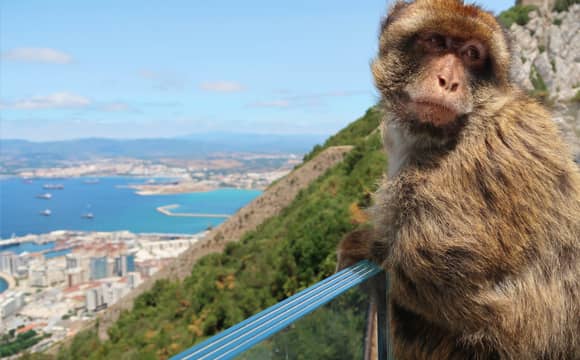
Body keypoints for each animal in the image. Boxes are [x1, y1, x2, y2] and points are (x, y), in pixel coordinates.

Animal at [336, 0, 580, 358]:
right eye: (436, 42)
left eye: (472, 54)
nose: (449, 82)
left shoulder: (479, 163)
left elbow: (462, 287)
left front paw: (358, 246)